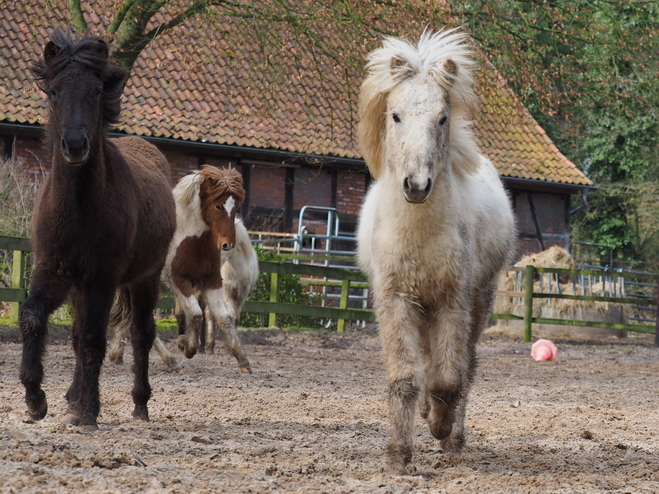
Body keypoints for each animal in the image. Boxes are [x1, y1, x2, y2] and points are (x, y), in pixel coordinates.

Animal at [20, 31, 175, 432]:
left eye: (94, 91)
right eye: (54, 91)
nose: (75, 145)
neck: (79, 209)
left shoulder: (103, 278)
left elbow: (93, 340)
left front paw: (90, 412)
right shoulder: (52, 271)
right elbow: (33, 318)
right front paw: (36, 400)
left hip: (144, 278)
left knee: (140, 335)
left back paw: (139, 404)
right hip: (80, 286)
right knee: (77, 334)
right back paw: (71, 398)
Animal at [358, 29, 520, 474]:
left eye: (443, 117)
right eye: (395, 115)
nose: (417, 185)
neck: (419, 235)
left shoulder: (453, 300)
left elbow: (449, 380)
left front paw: (441, 429)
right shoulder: (396, 300)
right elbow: (404, 380)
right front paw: (398, 455)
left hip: (479, 300)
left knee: (465, 367)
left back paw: (453, 438)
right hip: (424, 309)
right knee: (432, 365)